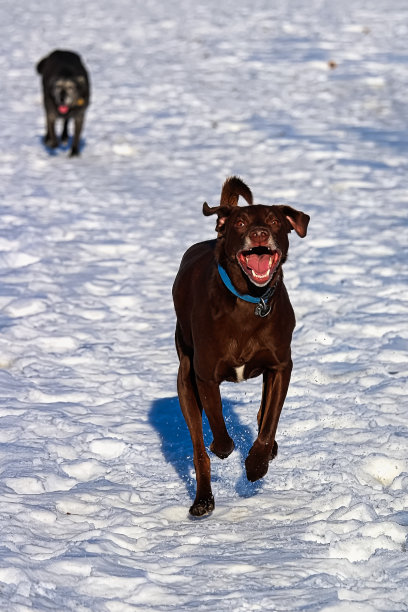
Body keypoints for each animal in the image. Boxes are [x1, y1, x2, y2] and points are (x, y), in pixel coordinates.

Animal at [172, 177, 310, 516]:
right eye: (241, 222)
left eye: (274, 221)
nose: (259, 233)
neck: (249, 301)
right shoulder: (205, 374)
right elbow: (217, 422)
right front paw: (224, 448)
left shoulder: (280, 366)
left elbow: (269, 421)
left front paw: (257, 464)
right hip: (184, 378)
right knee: (199, 448)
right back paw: (203, 499)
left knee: (262, 415)